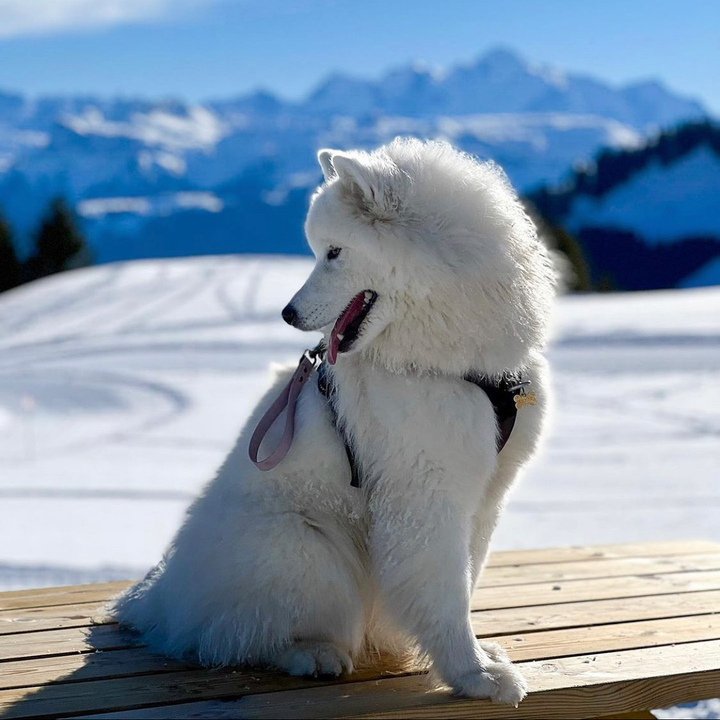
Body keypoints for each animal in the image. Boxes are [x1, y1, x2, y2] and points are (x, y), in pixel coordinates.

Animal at [112, 136, 556, 704]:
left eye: (334, 252)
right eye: (319, 249)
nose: (287, 314)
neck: (449, 362)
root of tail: (165, 602)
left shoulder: (483, 497)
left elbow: (465, 578)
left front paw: (472, 657)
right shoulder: (427, 494)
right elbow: (445, 592)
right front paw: (474, 674)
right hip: (304, 549)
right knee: (238, 638)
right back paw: (312, 654)